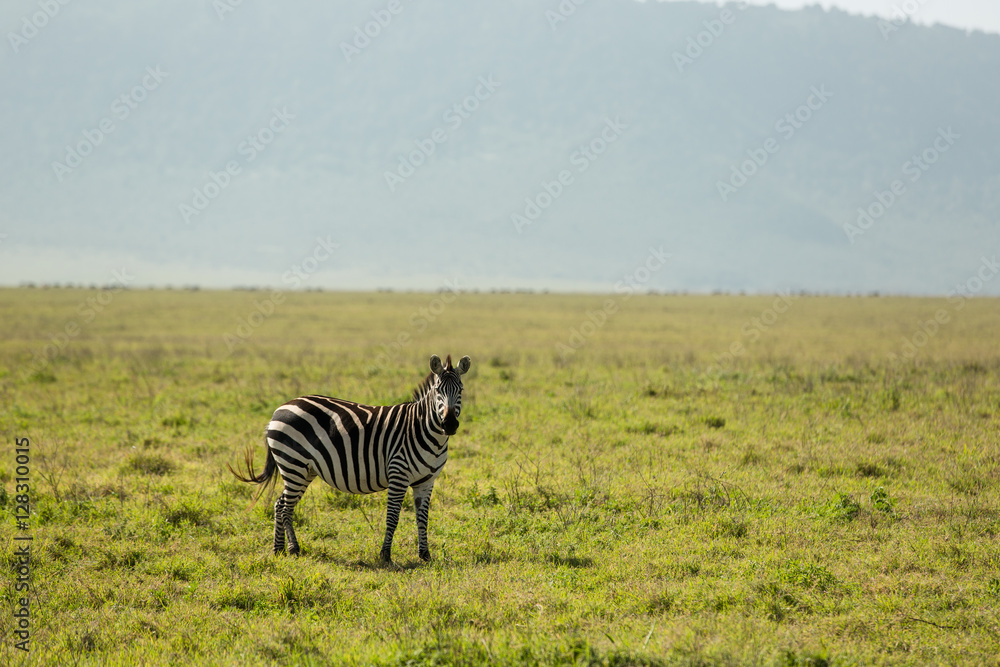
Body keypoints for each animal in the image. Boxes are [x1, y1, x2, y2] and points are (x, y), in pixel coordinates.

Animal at [229, 354, 471, 563]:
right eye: (438, 390)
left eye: (461, 390)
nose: (450, 424)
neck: (424, 429)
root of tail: (280, 408)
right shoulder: (398, 474)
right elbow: (393, 517)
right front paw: (385, 555)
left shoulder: (426, 481)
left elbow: (423, 518)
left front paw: (425, 555)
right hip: (293, 464)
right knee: (285, 506)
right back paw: (293, 549)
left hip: (303, 470)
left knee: (280, 504)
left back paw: (279, 549)